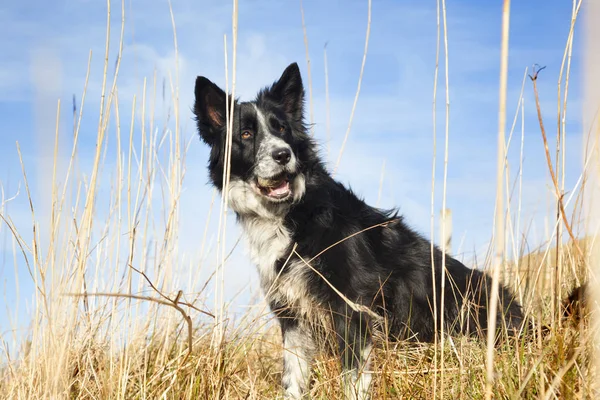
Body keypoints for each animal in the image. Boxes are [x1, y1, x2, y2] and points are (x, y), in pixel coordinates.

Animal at [193, 63, 524, 400]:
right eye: (246, 134)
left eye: (282, 129)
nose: (283, 155)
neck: (293, 213)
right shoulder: (292, 315)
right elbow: (294, 379)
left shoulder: (352, 308)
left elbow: (352, 377)